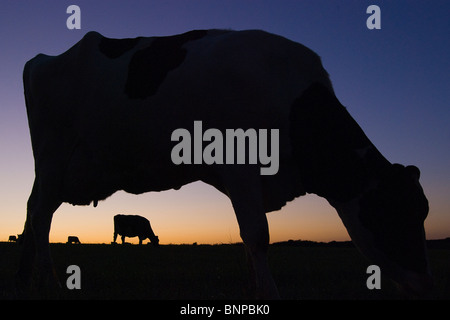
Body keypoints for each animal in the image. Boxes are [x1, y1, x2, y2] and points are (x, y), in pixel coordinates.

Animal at [18, 28, 432, 298]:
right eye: (394, 213)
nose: (425, 285)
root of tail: (44, 59)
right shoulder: (242, 166)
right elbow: (258, 236)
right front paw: (269, 294)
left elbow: (249, 243)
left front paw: (253, 290)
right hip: (54, 153)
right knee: (41, 215)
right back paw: (50, 282)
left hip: (52, 169)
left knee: (31, 212)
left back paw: (30, 280)